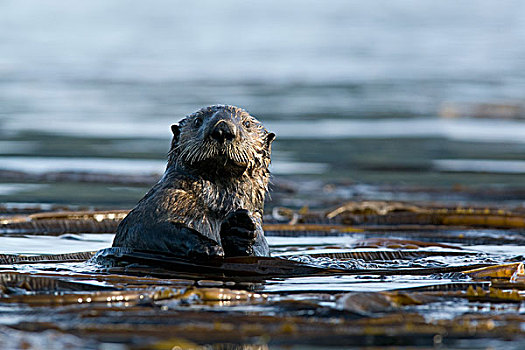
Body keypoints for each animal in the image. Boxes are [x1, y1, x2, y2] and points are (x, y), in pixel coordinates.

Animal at [110, 105, 274, 258]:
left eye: (247, 123)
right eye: (197, 121)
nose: (222, 129)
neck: (218, 201)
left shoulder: (257, 225)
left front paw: (239, 229)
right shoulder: (163, 200)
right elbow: (145, 229)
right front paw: (209, 246)